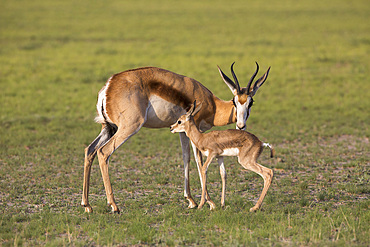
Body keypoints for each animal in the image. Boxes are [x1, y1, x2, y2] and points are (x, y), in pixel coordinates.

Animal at [82, 61, 270, 212]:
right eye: (234, 101)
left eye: (250, 102)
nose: (241, 125)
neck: (212, 104)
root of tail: (109, 86)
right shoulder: (197, 129)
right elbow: (199, 161)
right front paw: (209, 202)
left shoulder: (184, 132)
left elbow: (186, 158)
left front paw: (191, 200)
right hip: (128, 127)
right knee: (103, 152)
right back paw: (114, 205)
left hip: (109, 128)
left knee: (90, 150)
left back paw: (87, 205)